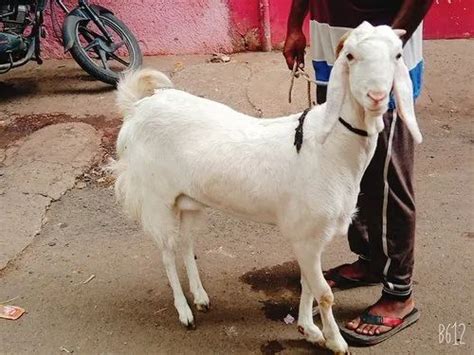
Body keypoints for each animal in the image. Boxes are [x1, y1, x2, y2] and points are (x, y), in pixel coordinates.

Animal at [112, 23, 422, 355]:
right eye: (350, 56)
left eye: (397, 55)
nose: (376, 96)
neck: (330, 147)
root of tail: (137, 107)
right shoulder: (306, 233)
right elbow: (323, 292)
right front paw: (335, 341)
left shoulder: (312, 235)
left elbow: (308, 284)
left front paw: (308, 330)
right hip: (158, 198)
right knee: (167, 252)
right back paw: (185, 312)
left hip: (190, 200)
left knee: (186, 243)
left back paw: (201, 297)